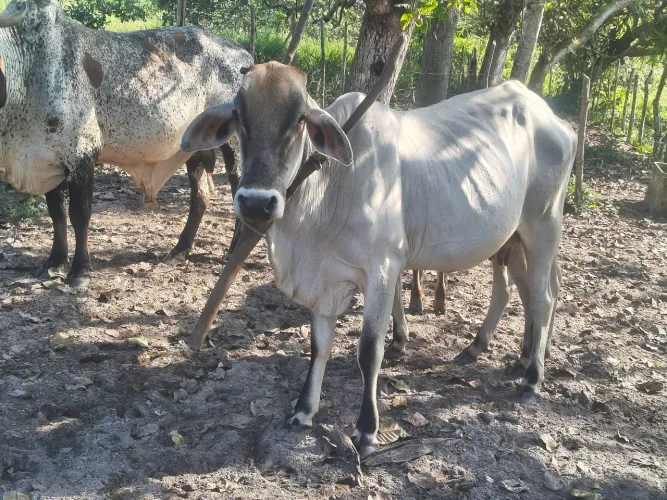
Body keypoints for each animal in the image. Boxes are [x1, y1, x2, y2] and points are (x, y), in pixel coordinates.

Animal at [0, 0, 252, 287]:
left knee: (236, 188)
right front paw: (54, 261)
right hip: (196, 148)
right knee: (200, 195)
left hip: (234, 143)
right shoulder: (47, 159)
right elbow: (57, 213)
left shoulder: (82, 154)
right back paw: (180, 251)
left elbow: (80, 214)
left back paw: (232, 251)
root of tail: (243, 54)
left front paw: (79, 270)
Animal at [181, 62, 576, 457]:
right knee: (517, 292)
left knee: (542, 298)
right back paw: (500, 352)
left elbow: (369, 350)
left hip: (543, 224)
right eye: (238, 116)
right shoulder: (324, 279)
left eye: (299, 119)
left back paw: (532, 377)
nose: (256, 203)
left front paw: (367, 429)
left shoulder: (383, 270)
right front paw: (304, 411)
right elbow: (319, 345)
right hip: (512, 239)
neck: (332, 184)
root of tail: (557, 121)